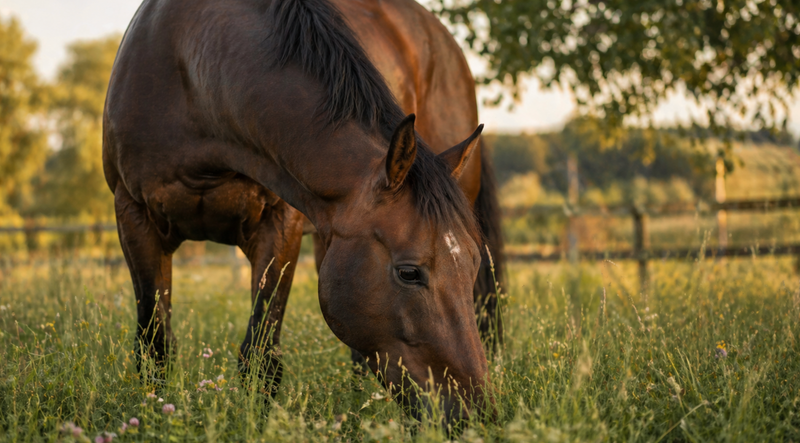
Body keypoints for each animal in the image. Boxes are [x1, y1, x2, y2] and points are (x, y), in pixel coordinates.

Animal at [103, 0, 503, 423]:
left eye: (473, 263)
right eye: (409, 272)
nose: (476, 413)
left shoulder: (279, 226)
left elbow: (261, 356)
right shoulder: (133, 217)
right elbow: (155, 346)